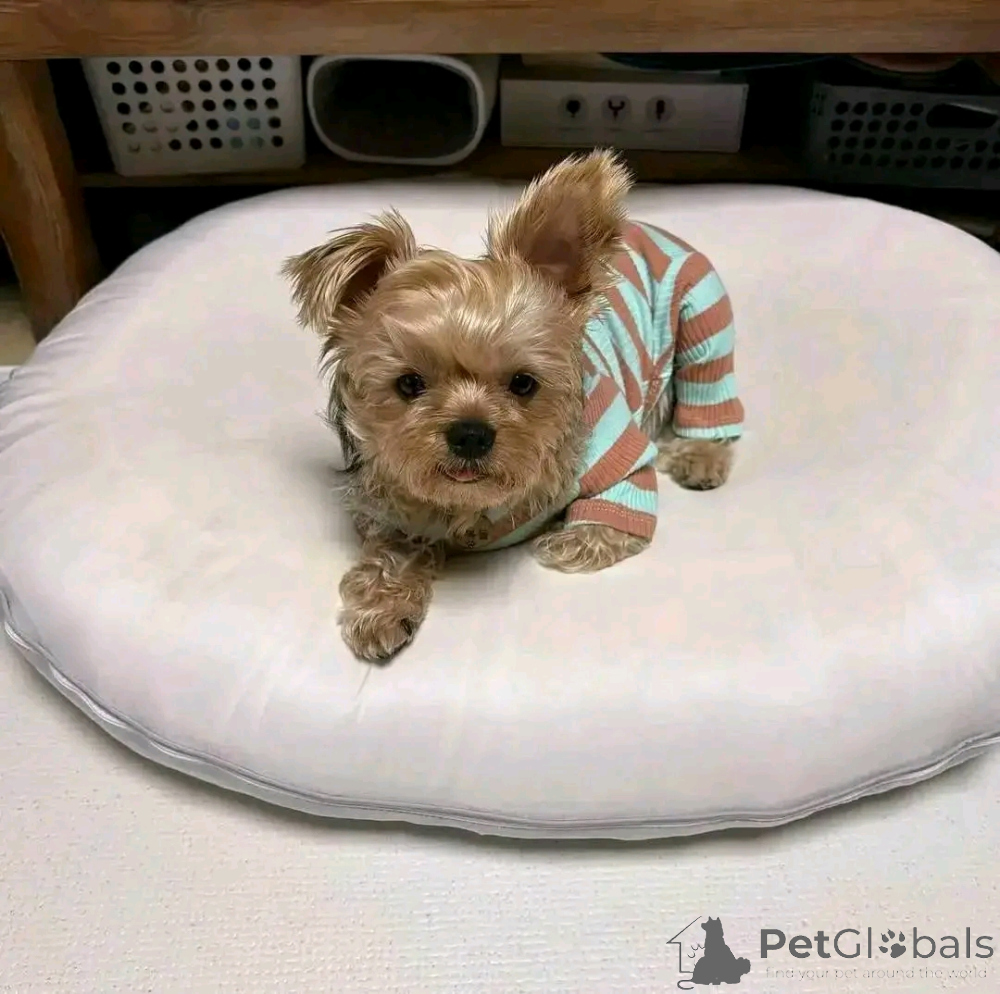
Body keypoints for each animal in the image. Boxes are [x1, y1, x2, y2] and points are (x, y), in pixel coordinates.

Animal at [283, 150, 744, 663]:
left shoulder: (619, 453)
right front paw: (381, 610)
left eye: (524, 383)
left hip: (703, 321)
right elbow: (391, 549)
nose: (470, 434)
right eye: (408, 384)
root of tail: (657, 229)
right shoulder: (389, 504)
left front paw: (565, 539)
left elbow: (612, 519)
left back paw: (701, 456)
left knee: (711, 396)